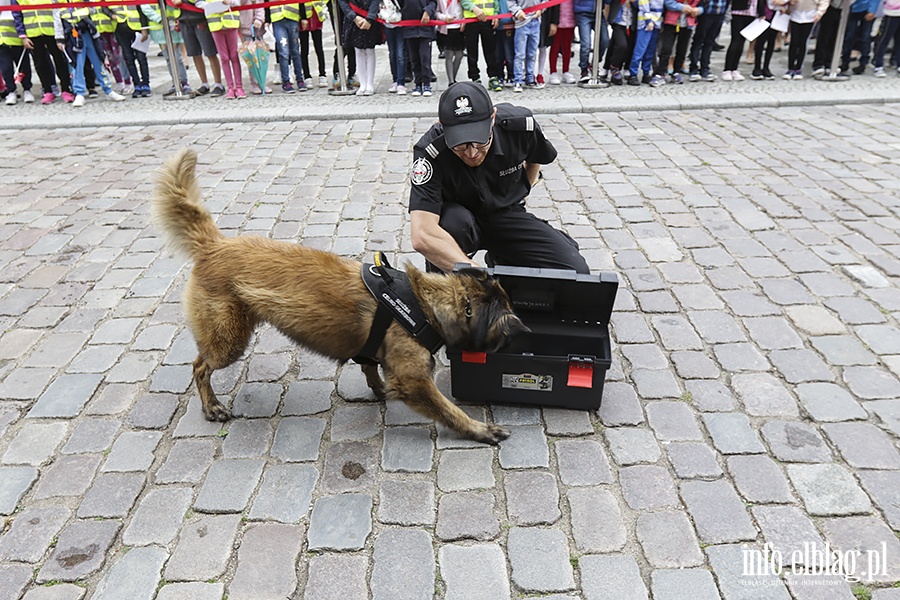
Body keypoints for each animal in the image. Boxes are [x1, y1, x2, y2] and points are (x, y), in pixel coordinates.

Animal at [151, 150, 524, 446]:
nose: (524, 333)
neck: (426, 303)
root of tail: (214, 245)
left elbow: (371, 367)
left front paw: (378, 389)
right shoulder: (416, 382)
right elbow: (449, 410)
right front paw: (479, 429)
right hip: (229, 342)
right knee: (200, 367)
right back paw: (211, 406)